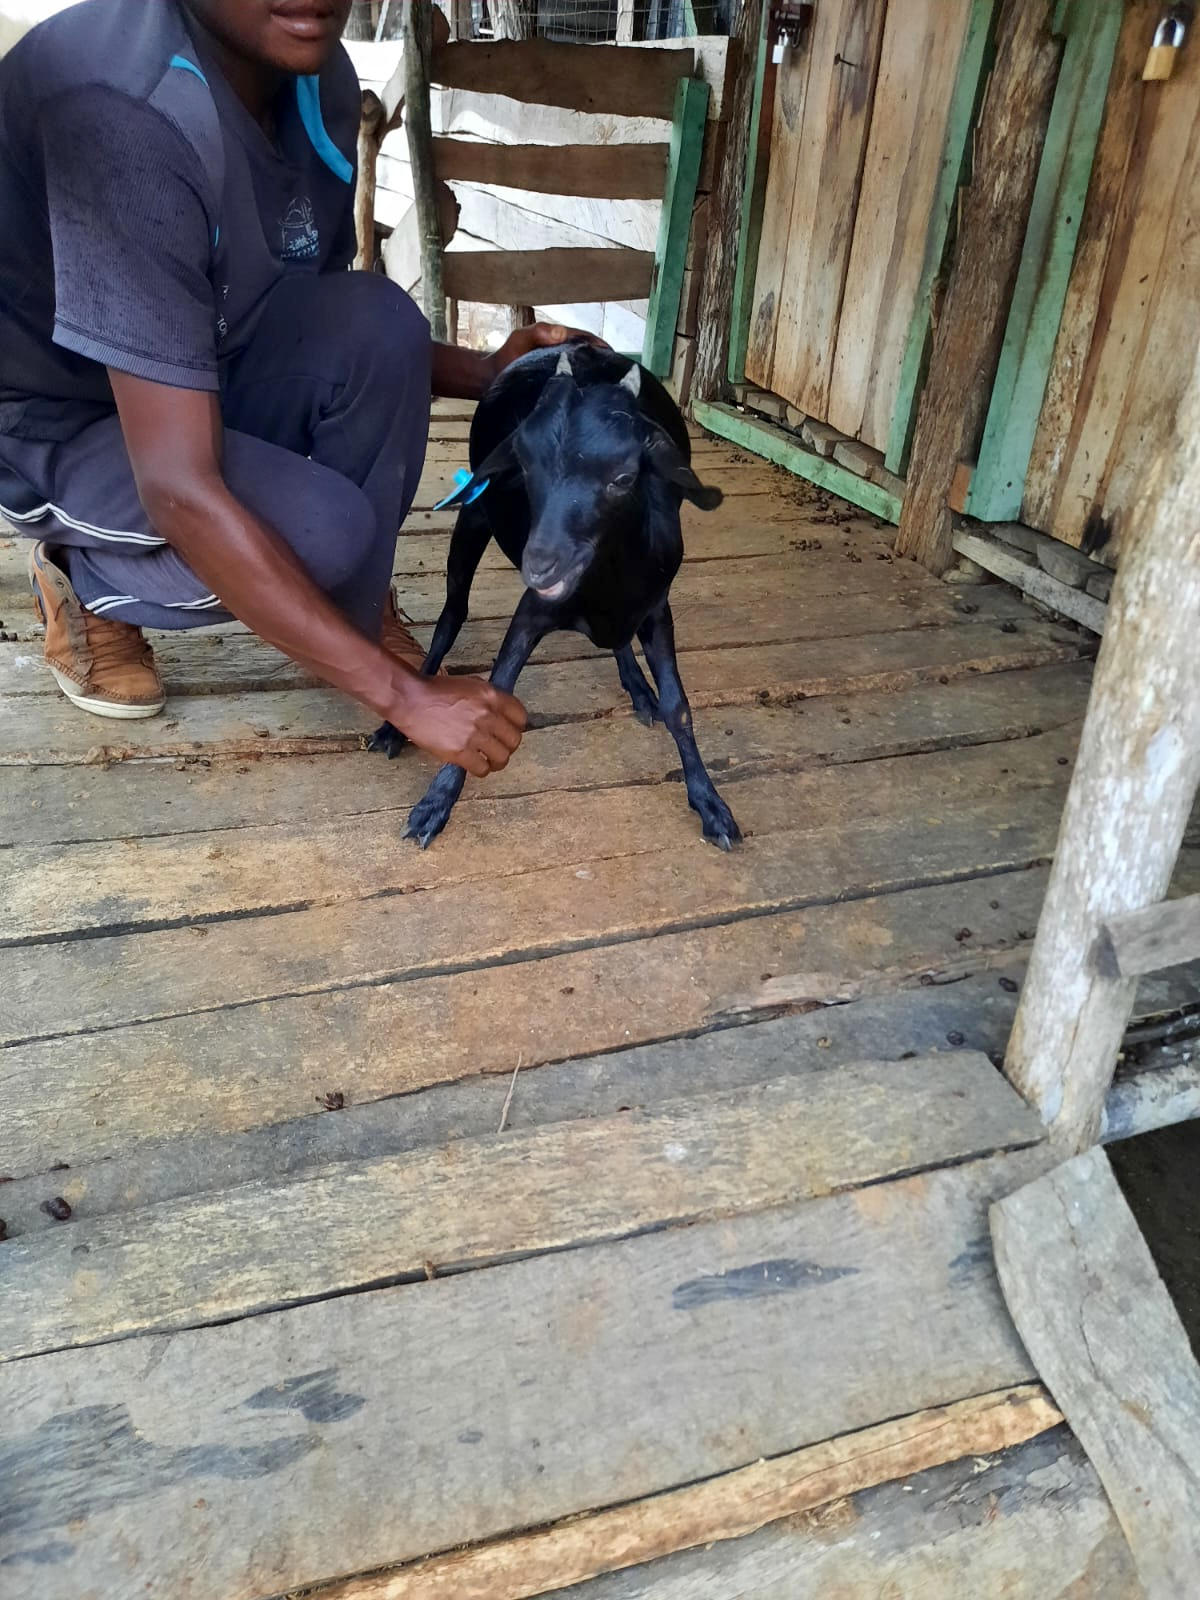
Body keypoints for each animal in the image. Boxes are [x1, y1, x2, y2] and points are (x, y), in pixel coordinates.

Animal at [369, 341, 741, 852]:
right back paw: (395, 725)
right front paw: (436, 801)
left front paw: (710, 802)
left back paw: (637, 686)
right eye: (524, 463)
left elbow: (678, 707)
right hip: (472, 520)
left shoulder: (655, 608)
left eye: (624, 478)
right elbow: (497, 688)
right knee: (451, 616)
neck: (607, 581)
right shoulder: (533, 611)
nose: (540, 564)